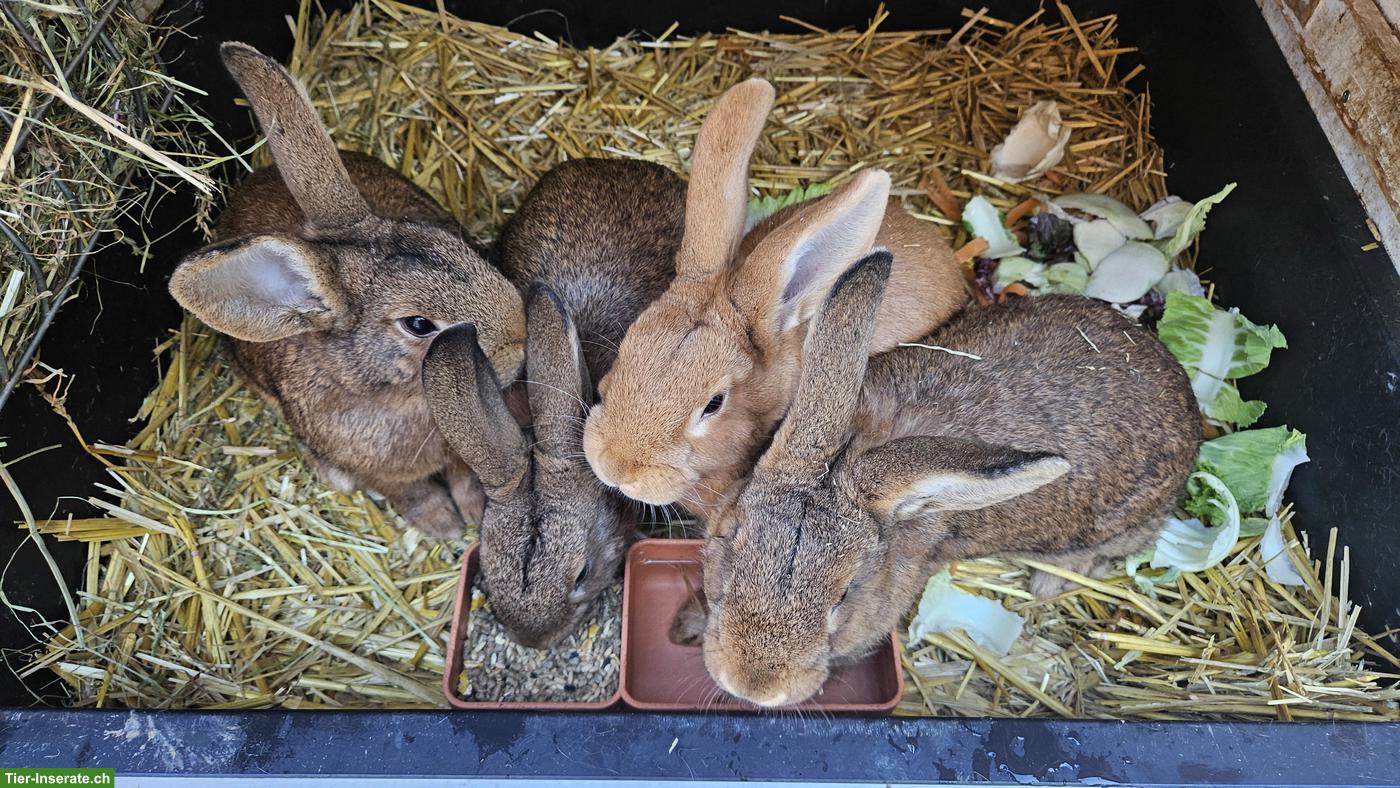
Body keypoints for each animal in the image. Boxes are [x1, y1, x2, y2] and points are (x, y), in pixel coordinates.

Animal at [167, 43, 526, 539]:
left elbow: (463, 472)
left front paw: (473, 513)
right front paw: (444, 525)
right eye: (419, 325)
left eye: (454, 244)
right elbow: (409, 493)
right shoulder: (380, 473)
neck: (399, 399)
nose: (520, 334)